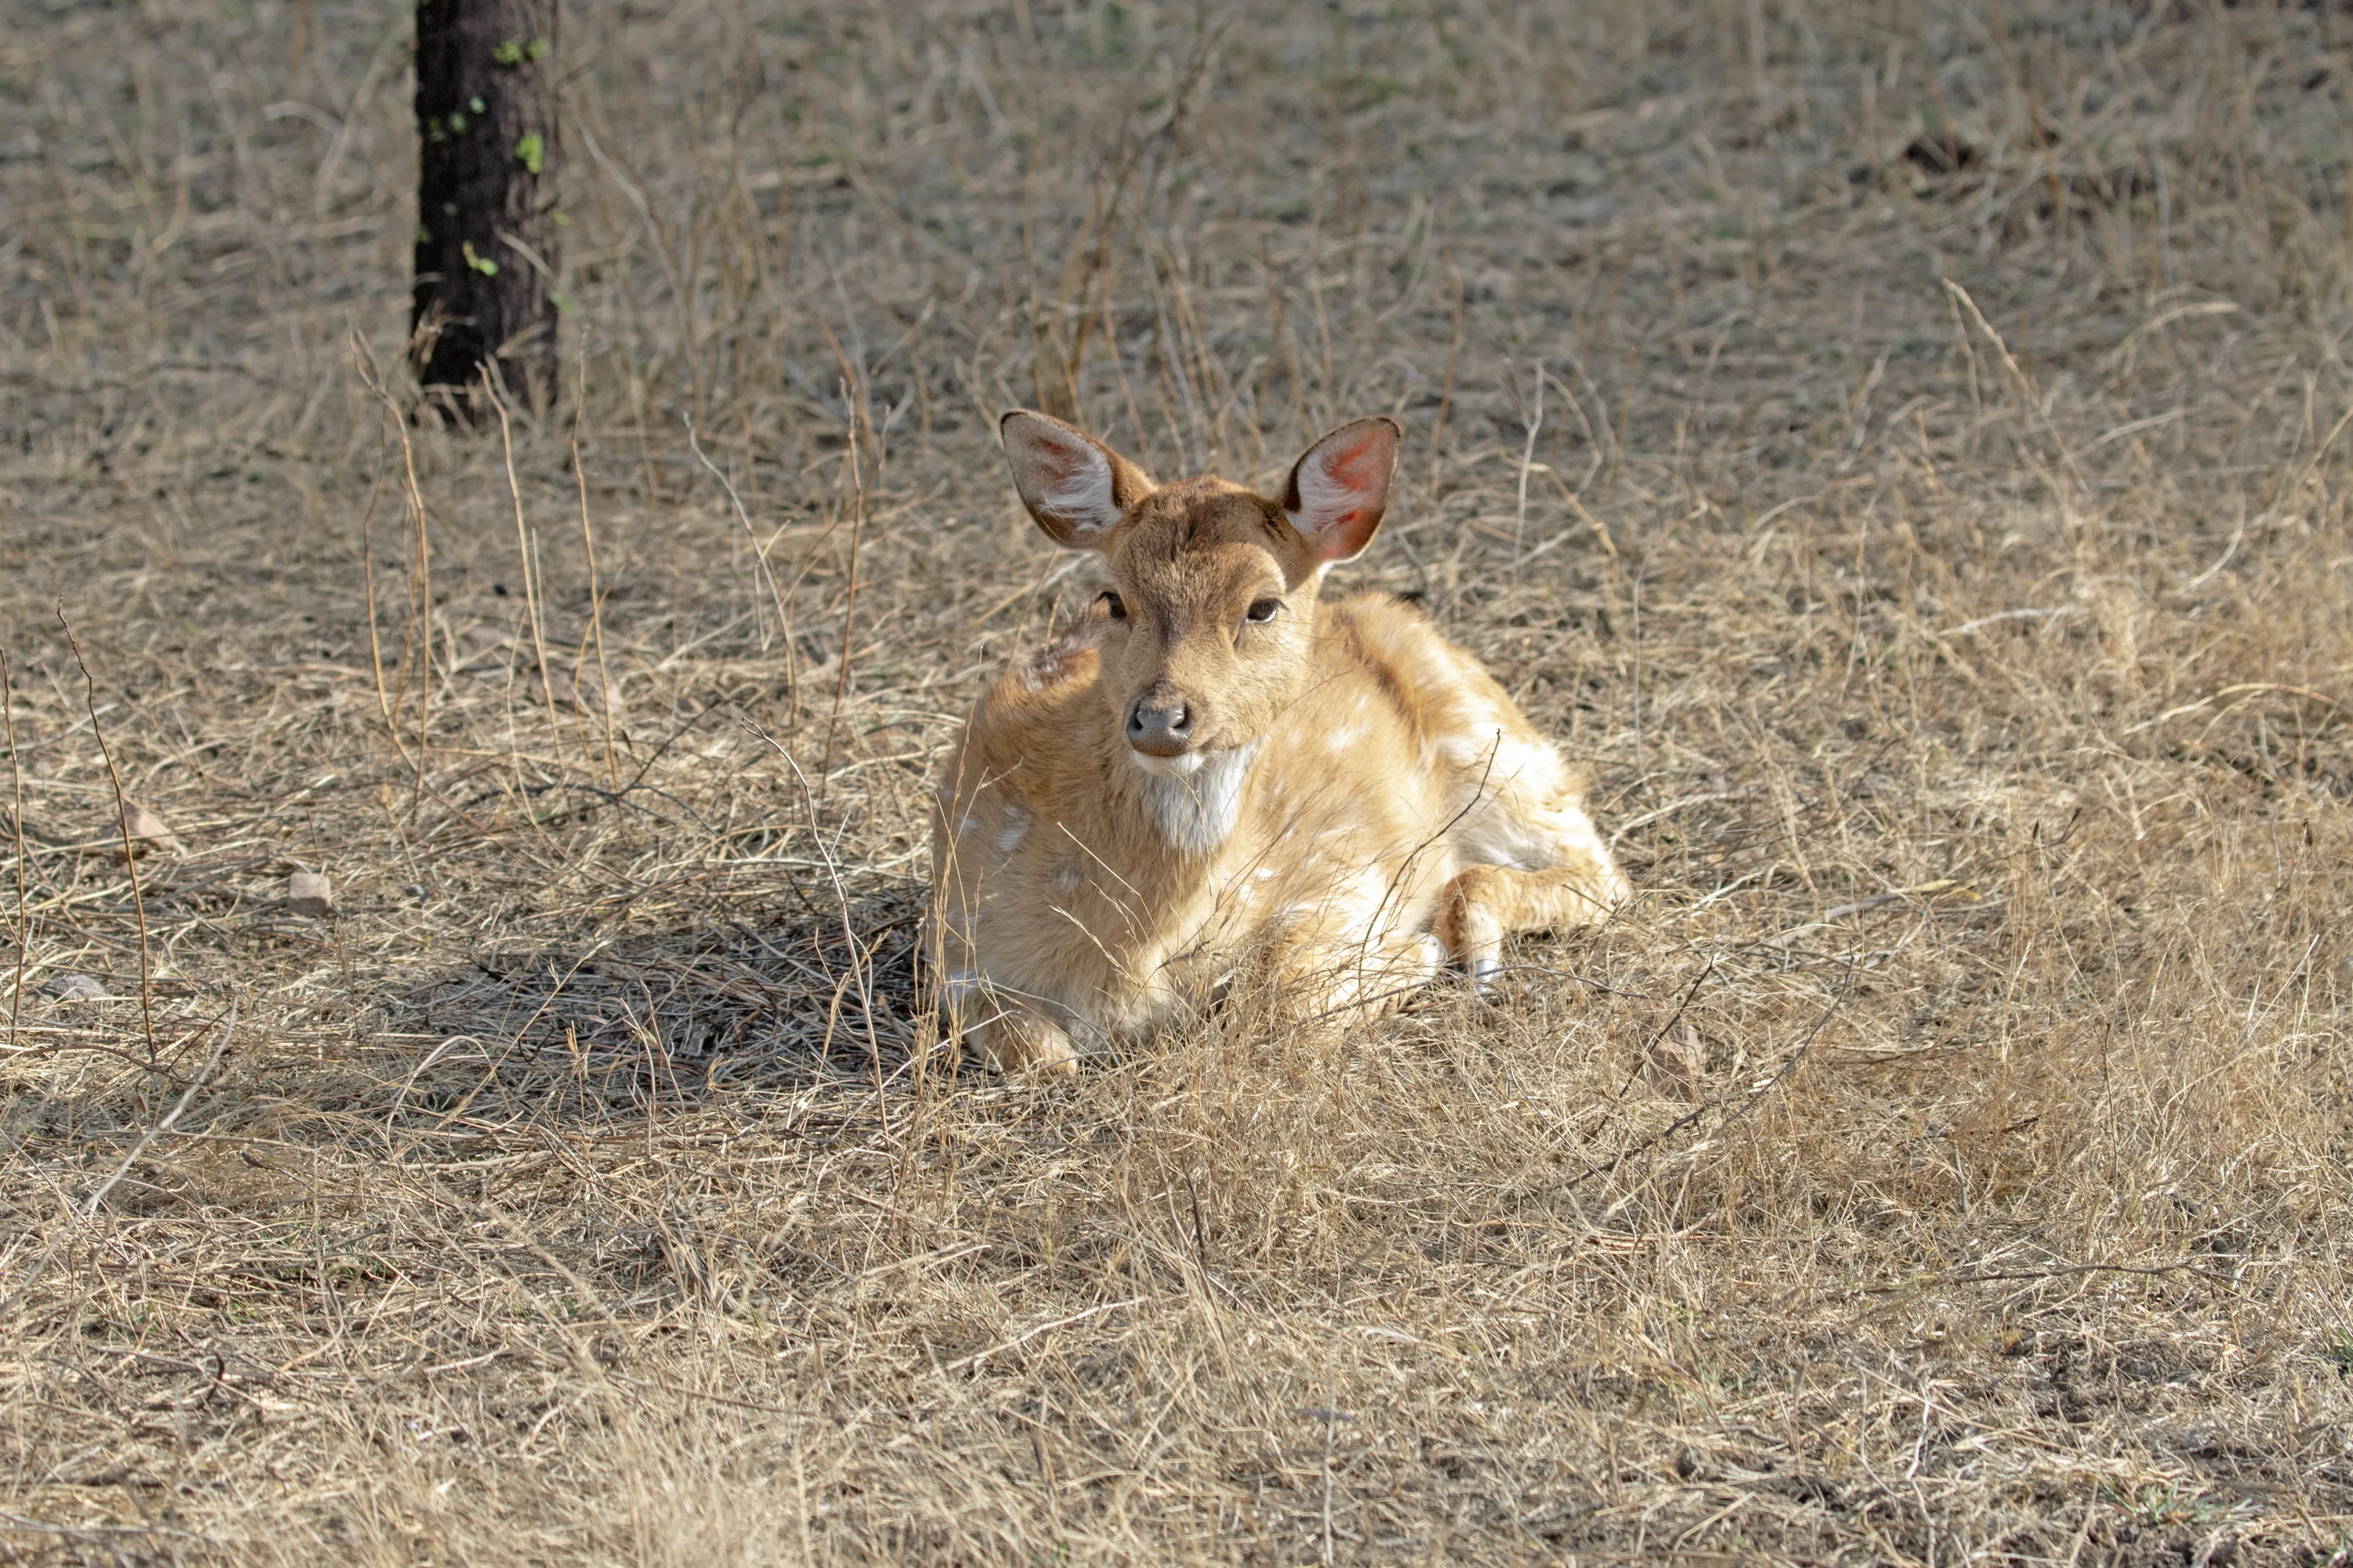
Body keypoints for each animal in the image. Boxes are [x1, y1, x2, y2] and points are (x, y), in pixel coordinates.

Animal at [927, 410, 1631, 1073]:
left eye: (1262, 605)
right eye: (1114, 599)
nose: (1159, 719)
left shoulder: (1346, 870)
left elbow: (1274, 1000)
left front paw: (1413, 950)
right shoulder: (956, 941)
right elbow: (1042, 1056)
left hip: (1495, 746)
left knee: (1597, 873)